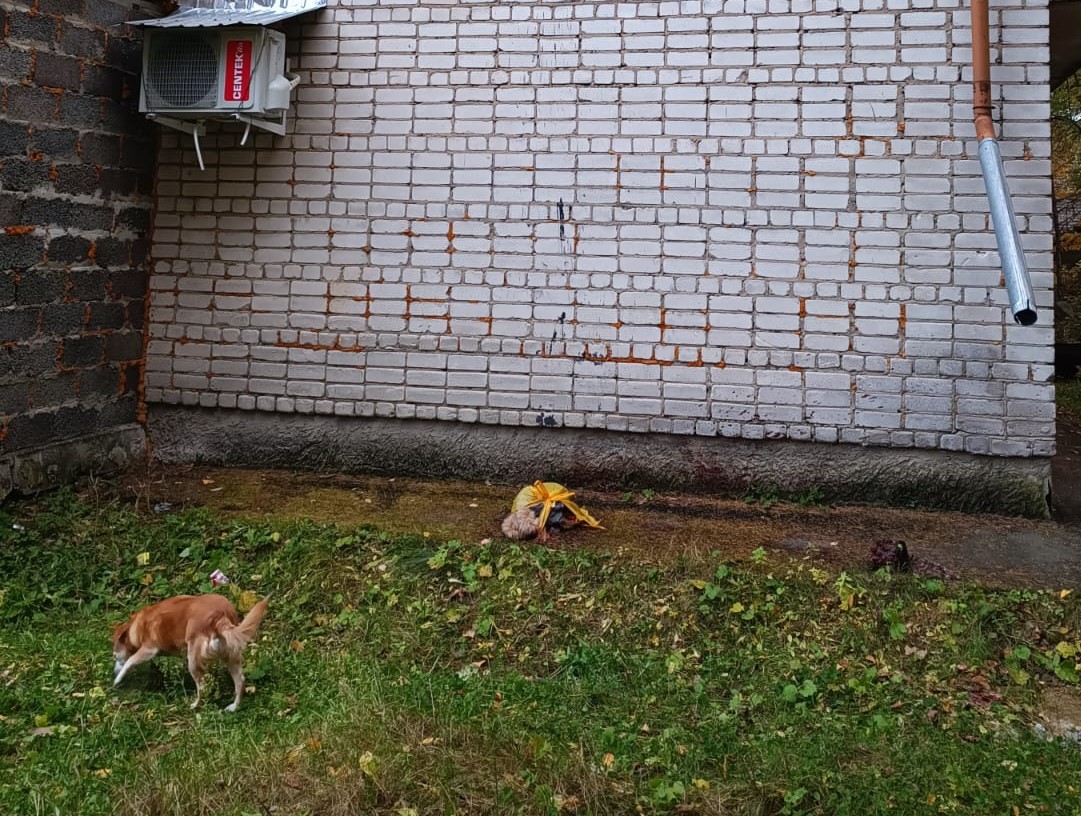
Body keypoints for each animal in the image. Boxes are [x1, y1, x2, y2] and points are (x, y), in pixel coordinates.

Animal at [112, 594, 269, 712]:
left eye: (115, 656)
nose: (113, 672)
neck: (136, 627)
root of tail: (220, 617)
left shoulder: (149, 650)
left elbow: (129, 661)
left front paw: (117, 679)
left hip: (193, 660)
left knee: (203, 687)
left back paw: (195, 705)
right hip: (230, 655)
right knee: (240, 681)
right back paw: (234, 706)